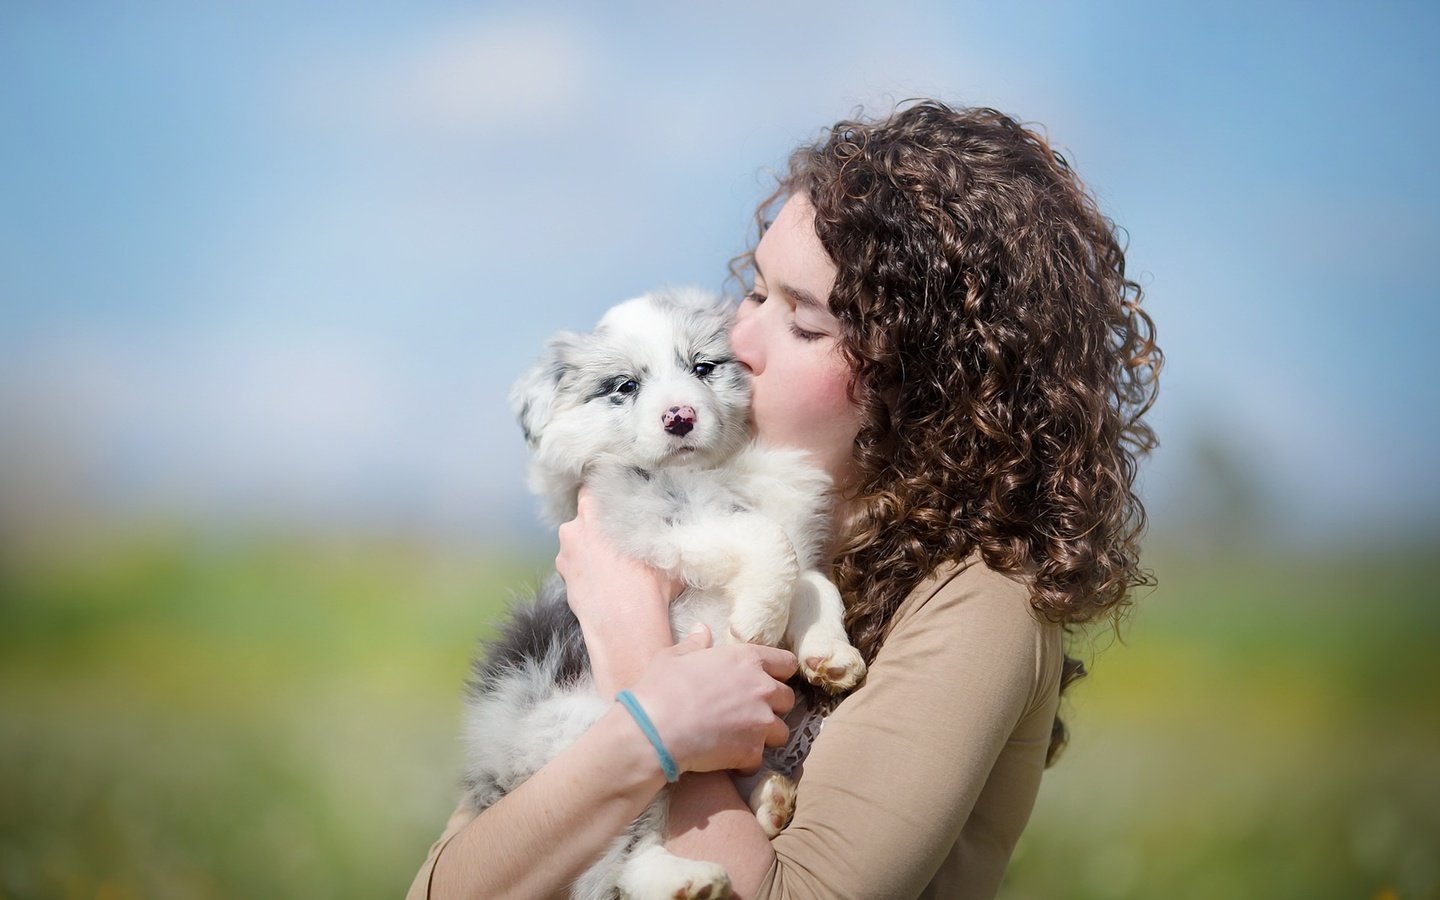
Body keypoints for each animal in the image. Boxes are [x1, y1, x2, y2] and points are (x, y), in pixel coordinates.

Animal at [466, 288, 858, 898]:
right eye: (625, 386)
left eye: (703, 367)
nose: (680, 418)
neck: (721, 469)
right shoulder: (655, 518)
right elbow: (765, 539)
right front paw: (760, 623)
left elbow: (815, 581)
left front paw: (830, 655)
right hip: (597, 751)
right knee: (620, 860)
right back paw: (687, 879)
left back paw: (768, 800)